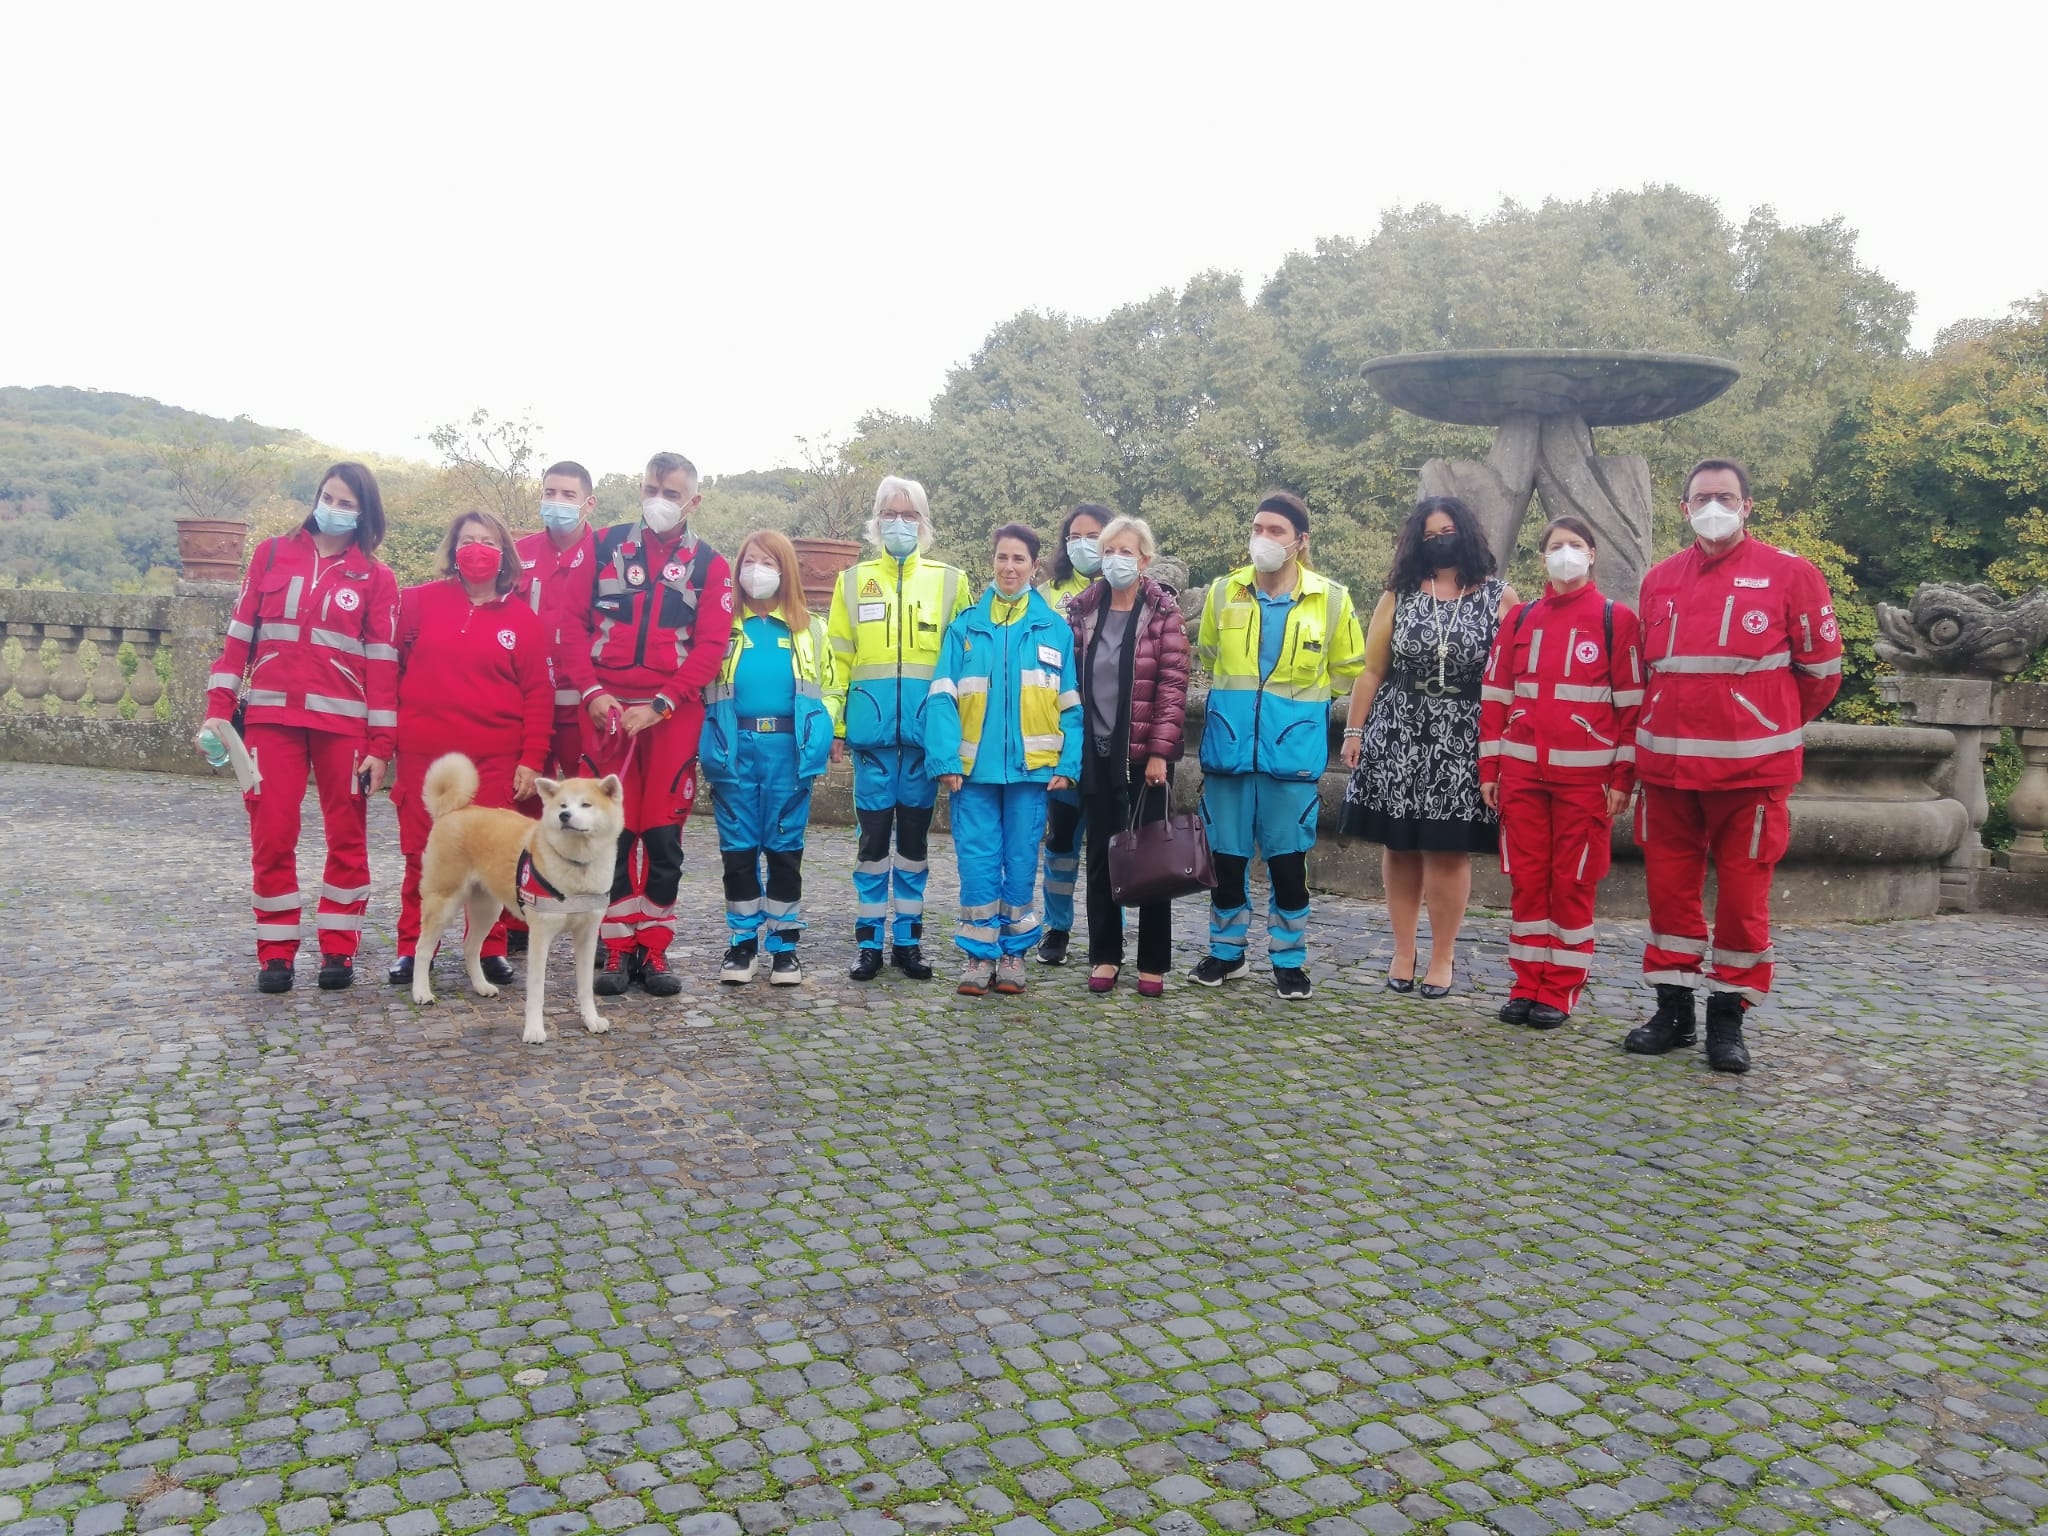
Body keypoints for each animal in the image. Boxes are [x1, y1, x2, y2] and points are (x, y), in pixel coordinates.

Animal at [407, 753, 614, 1048]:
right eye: (562, 805)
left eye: (586, 804)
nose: (564, 816)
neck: (576, 865)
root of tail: (452, 810)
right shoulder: (539, 935)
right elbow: (536, 990)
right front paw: (534, 1031)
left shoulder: (587, 935)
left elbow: (585, 987)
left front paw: (591, 1020)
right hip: (443, 902)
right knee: (422, 949)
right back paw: (421, 992)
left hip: (487, 909)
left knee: (470, 946)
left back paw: (481, 986)